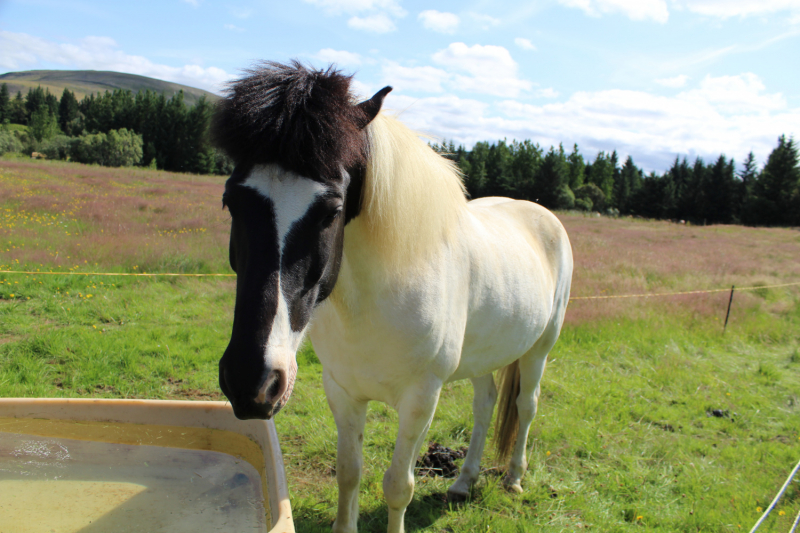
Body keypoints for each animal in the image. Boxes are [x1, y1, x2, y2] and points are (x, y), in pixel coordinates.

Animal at [214, 62, 576, 532]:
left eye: (332, 210)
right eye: (230, 201)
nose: (251, 382)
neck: (372, 304)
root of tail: (537, 212)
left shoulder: (421, 399)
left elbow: (398, 486)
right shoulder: (342, 391)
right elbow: (349, 473)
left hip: (540, 349)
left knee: (526, 405)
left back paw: (514, 477)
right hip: (482, 356)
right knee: (485, 404)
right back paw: (464, 482)